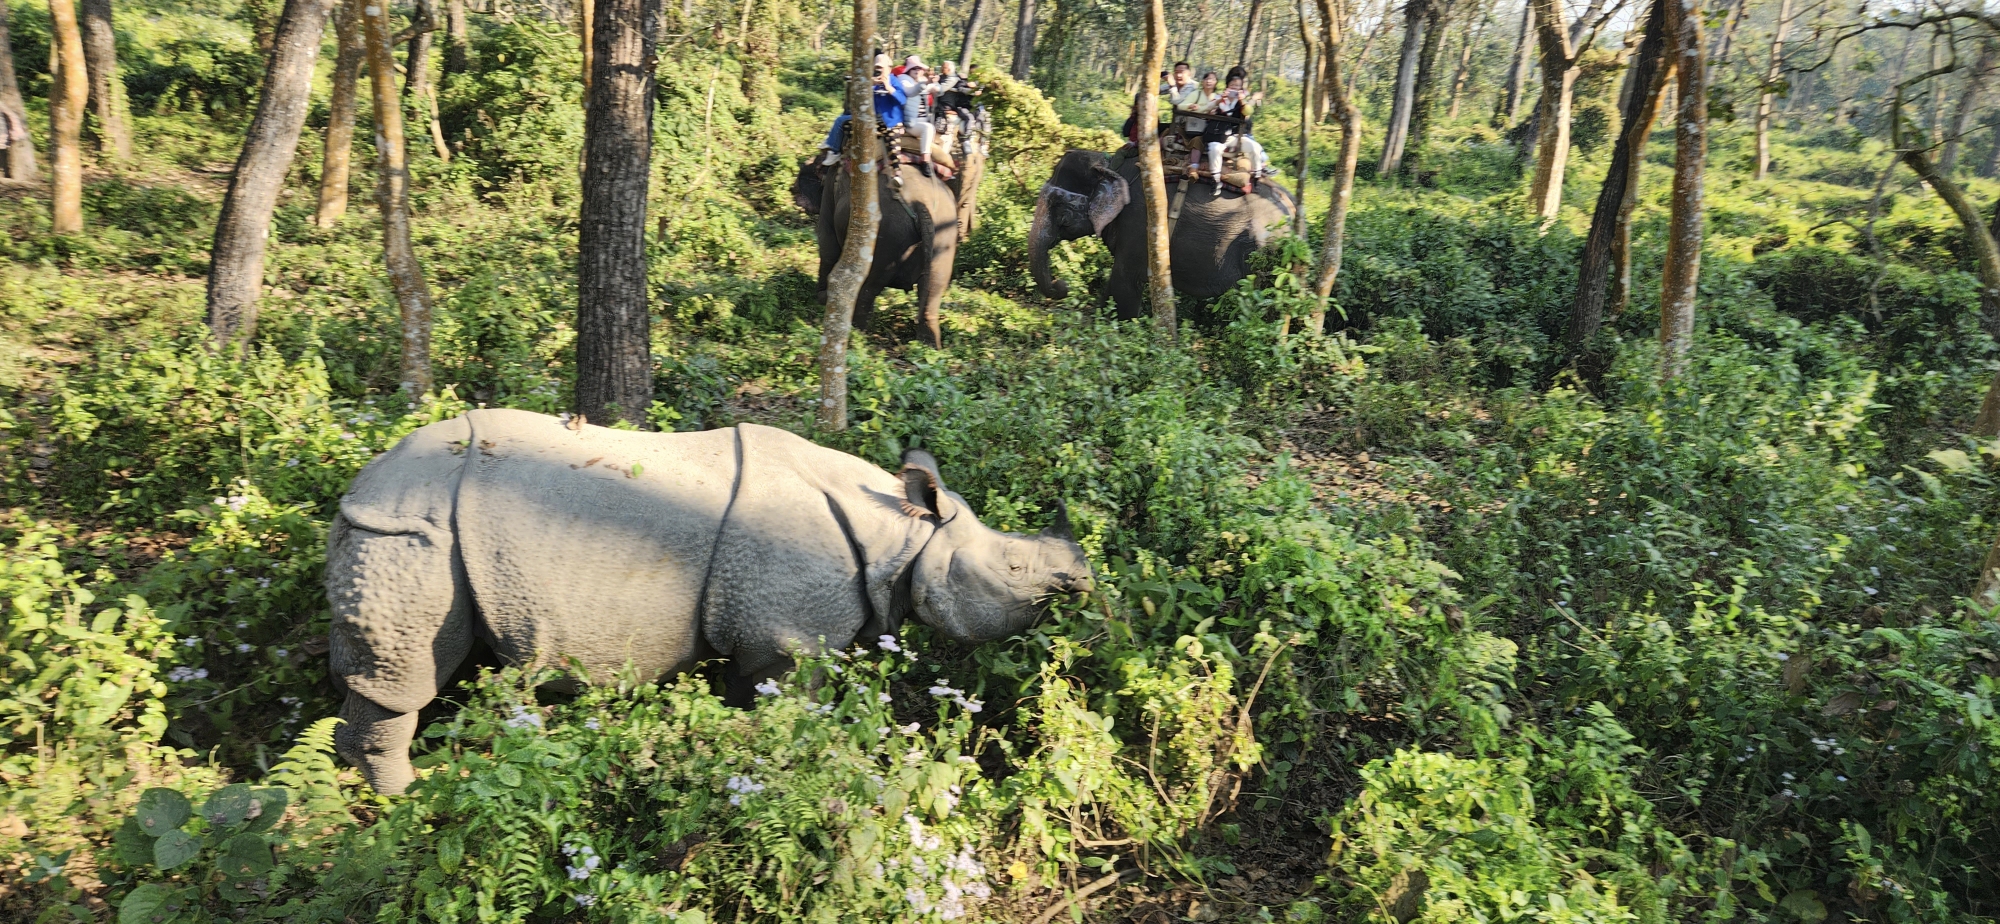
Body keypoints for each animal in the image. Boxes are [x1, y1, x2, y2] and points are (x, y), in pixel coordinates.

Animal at [324, 408, 1096, 792]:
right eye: (1015, 566)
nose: (1083, 581)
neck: (900, 536)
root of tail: (364, 482)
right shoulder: (785, 637)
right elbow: (783, 710)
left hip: (413, 531)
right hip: (415, 532)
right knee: (405, 675)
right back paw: (410, 797)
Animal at [792, 139, 988, 348]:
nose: (792, 190)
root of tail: (921, 206)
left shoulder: (831, 188)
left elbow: (827, 242)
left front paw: (821, 298)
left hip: (885, 238)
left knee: (867, 288)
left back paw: (855, 335)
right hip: (944, 237)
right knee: (933, 290)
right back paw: (929, 347)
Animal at [1032, 148, 1296, 322]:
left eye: (1058, 205)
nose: (1061, 284)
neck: (1110, 165)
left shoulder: (1139, 225)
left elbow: (1124, 282)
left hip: (1264, 253)